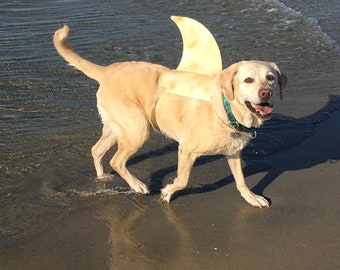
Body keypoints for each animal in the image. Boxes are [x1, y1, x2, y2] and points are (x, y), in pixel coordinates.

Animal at [53, 25, 286, 208]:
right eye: (248, 80)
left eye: (270, 78)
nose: (266, 93)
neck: (227, 108)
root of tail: (106, 71)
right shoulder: (187, 150)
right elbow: (183, 179)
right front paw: (166, 192)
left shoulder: (233, 152)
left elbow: (241, 181)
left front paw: (252, 197)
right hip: (138, 129)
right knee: (117, 160)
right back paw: (137, 185)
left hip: (118, 128)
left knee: (97, 150)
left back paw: (102, 177)